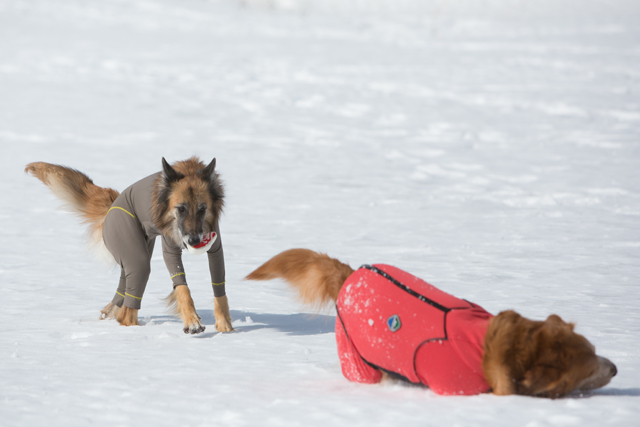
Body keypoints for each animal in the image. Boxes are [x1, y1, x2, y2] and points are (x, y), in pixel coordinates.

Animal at [26, 156, 235, 334]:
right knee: (128, 310)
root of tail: (112, 205)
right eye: (181, 209)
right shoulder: (170, 246)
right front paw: (192, 322)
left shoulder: (216, 247)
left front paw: (225, 325)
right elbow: (182, 287)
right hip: (135, 255)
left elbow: (219, 288)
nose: (194, 241)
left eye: (202, 209)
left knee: (121, 294)